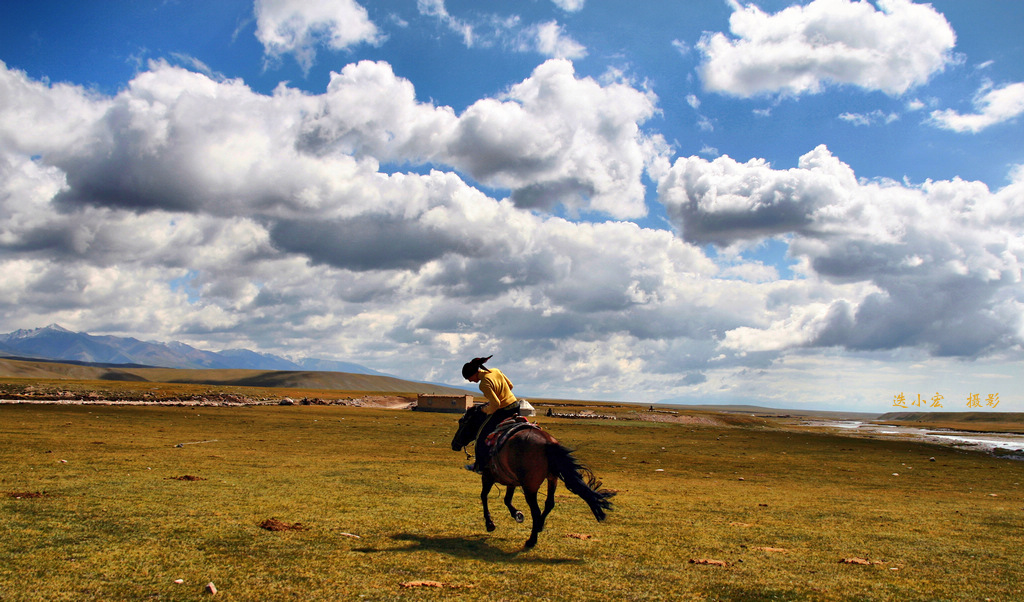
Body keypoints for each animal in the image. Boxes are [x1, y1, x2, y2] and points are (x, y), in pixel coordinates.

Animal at [450, 405, 610, 548]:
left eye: (462, 421)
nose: (454, 444)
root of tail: (548, 443)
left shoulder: (488, 476)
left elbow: (484, 496)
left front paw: (490, 523)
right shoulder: (511, 480)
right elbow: (507, 499)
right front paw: (517, 514)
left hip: (530, 487)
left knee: (536, 510)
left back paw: (531, 540)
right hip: (552, 478)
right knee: (549, 503)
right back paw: (539, 526)